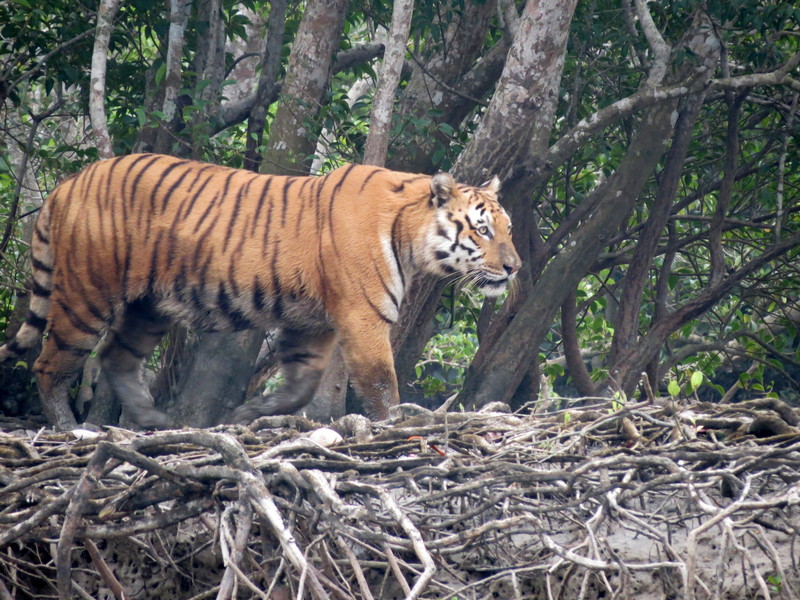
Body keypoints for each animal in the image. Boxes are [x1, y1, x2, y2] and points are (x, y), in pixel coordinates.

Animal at [0, 152, 520, 428]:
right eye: (483, 231)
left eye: (509, 229)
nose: (514, 268)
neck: (410, 237)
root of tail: (67, 183)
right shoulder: (363, 317)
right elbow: (379, 382)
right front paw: (397, 423)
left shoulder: (312, 324)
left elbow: (300, 385)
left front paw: (249, 412)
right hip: (86, 296)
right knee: (50, 365)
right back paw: (70, 429)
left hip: (149, 307)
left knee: (116, 358)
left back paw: (155, 422)